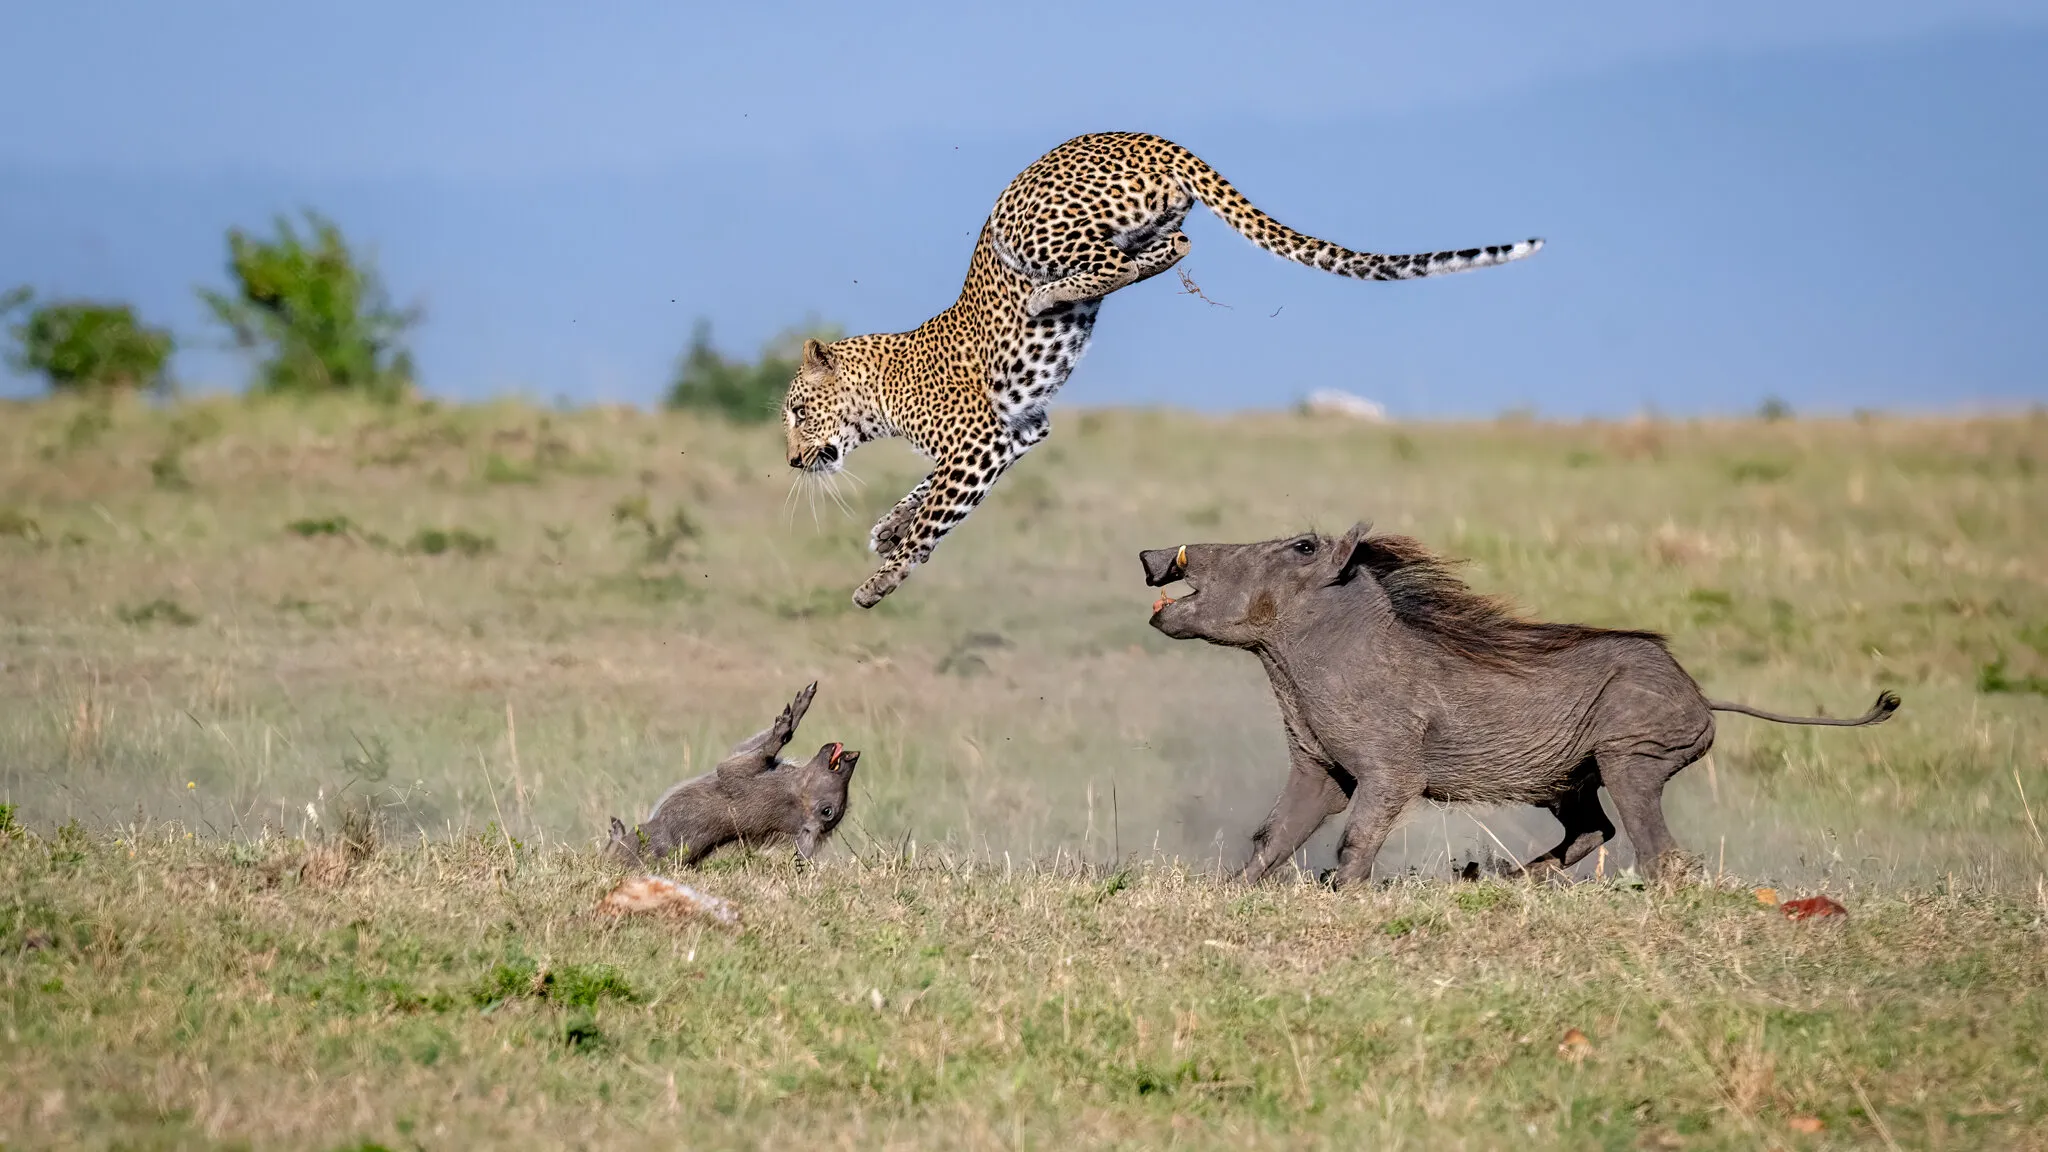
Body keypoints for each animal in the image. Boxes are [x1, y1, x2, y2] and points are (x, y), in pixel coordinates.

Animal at [605, 682, 861, 868]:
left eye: (827, 811)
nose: (855, 756)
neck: (793, 790)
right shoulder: (744, 754)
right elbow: (775, 738)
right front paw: (801, 703)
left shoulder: (734, 772)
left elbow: (768, 746)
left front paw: (785, 723)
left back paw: (616, 830)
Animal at [1140, 526, 1899, 886]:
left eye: (1300, 546)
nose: (1154, 555)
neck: (1299, 662)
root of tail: (1702, 697)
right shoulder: (1318, 768)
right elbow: (1273, 836)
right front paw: (1229, 893)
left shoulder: (1390, 773)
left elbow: (1356, 837)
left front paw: (1339, 891)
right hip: (1566, 780)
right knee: (1595, 831)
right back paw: (1505, 880)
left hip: (1631, 761)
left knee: (1659, 854)